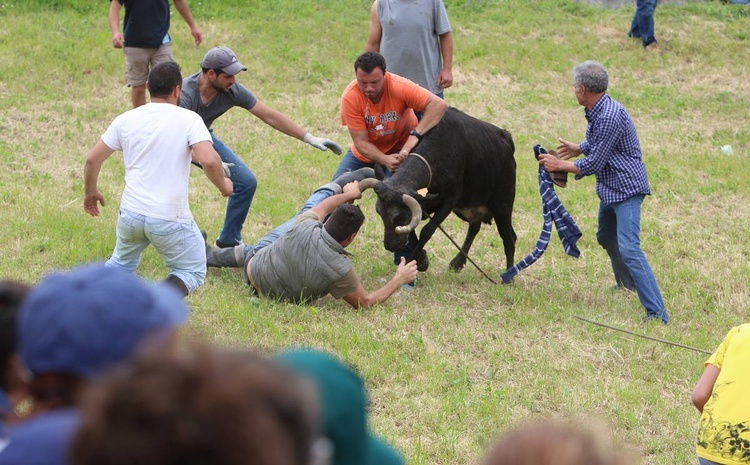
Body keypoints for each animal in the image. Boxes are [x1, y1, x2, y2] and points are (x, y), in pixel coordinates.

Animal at [362, 106, 516, 272]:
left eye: (400, 217)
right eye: (379, 212)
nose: (390, 246)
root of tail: (506, 136)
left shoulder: (449, 201)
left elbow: (426, 231)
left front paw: (412, 261)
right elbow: (412, 230)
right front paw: (421, 260)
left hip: (503, 206)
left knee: (509, 238)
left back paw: (509, 273)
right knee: (474, 226)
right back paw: (458, 262)